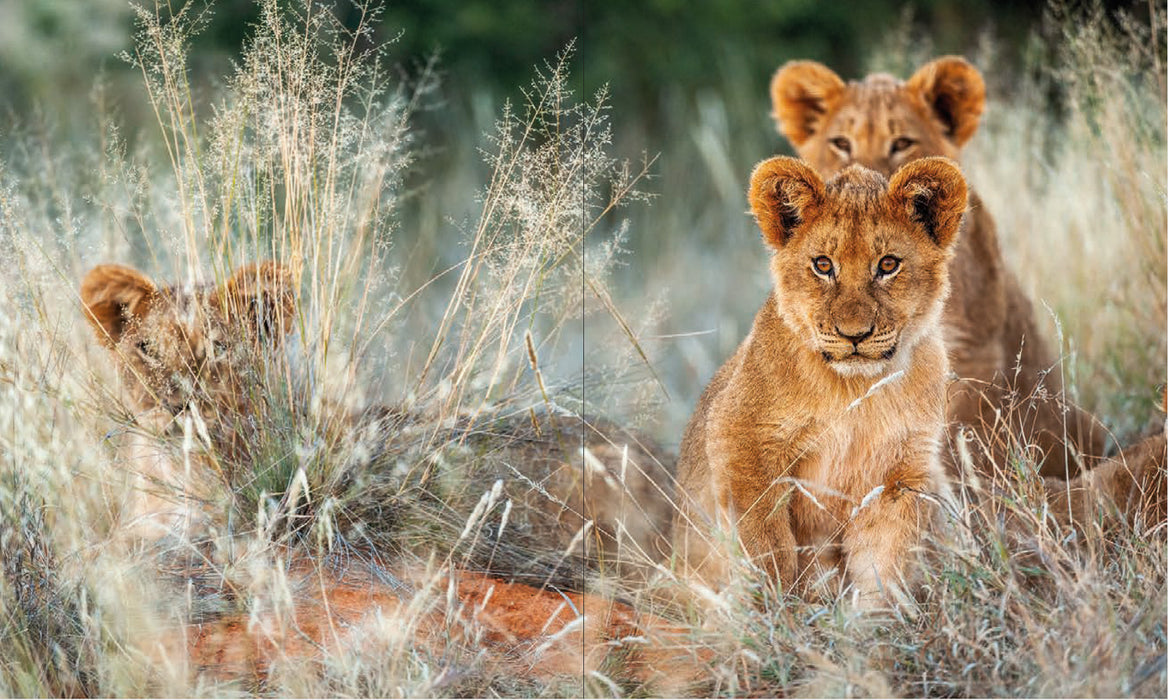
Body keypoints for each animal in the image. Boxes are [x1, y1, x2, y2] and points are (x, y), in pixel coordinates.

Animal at [672, 156, 967, 606]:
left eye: (888, 265)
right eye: (823, 265)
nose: (854, 334)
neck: (855, 390)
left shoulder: (902, 474)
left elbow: (884, 563)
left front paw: (876, 619)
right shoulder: (739, 442)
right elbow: (766, 547)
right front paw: (773, 613)